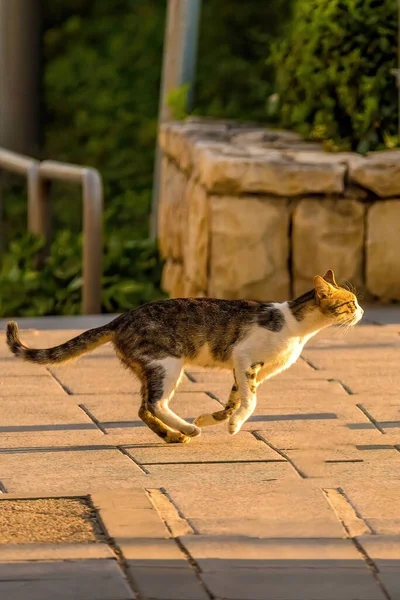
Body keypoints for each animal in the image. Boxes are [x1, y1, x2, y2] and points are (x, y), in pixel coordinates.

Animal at [6, 270, 362, 442]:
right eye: (349, 303)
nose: (361, 312)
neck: (296, 327)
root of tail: (120, 319)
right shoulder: (245, 359)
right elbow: (250, 402)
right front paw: (233, 425)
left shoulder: (246, 370)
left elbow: (233, 399)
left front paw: (213, 418)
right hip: (167, 364)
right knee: (155, 404)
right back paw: (187, 431)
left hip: (151, 368)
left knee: (142, 409)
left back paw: (174, 436)